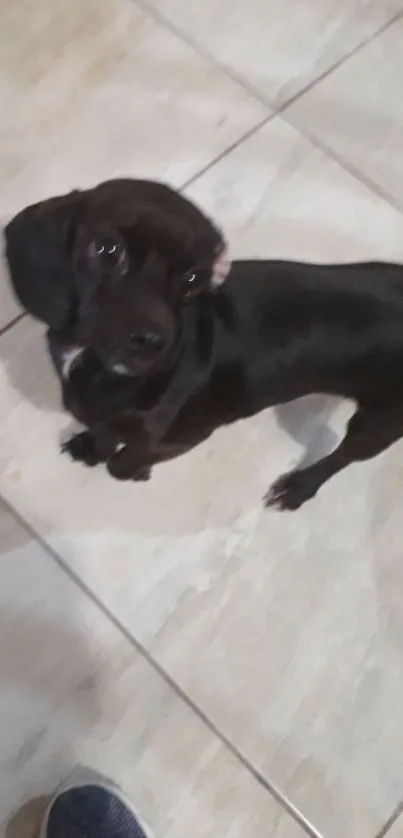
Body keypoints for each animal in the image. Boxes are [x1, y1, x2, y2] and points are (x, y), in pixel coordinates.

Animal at [4, 180, 403, 508]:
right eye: (108, 249)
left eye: (193, 277)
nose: (152, 343)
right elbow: (104, 432)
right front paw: (91, 446)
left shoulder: (179, 435)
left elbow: (123, 460)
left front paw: (132, 469)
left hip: (378, 425)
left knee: (343, 457)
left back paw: (299, 488)